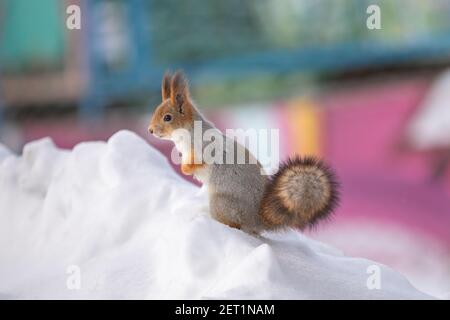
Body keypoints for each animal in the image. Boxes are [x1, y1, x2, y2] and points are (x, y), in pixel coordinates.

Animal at [149, 71, 340, 234]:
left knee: (235, 225)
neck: (186, 133)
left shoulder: (205, 148)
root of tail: (256, 219)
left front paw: (186, 169)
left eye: (167, 117)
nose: (150, 130)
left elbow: (201, 161)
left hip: (221, 204)